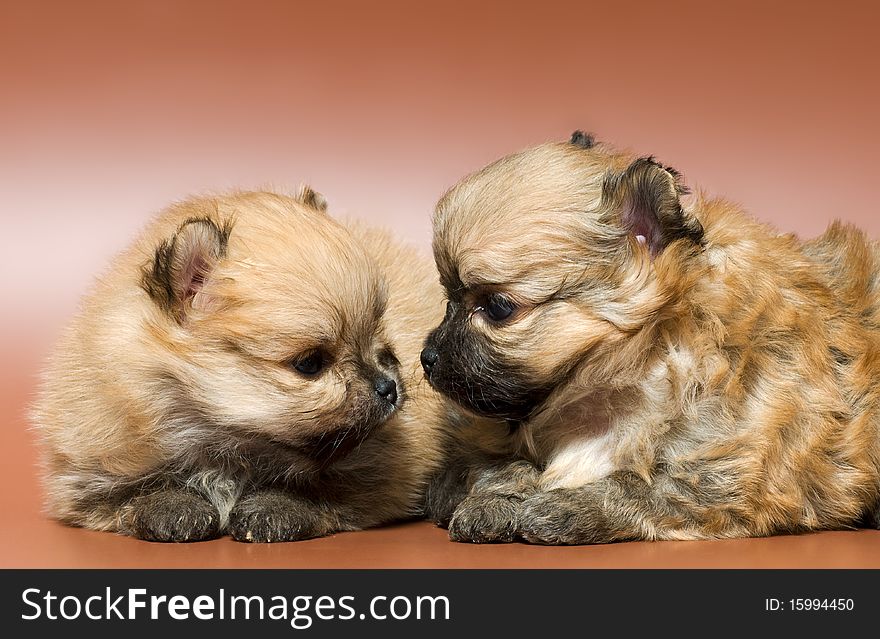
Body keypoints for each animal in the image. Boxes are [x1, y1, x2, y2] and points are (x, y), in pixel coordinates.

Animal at [32, 188, 454, 544]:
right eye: (310, 364)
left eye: (383, 346)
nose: (389, 387)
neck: (224, 447)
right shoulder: (87, 474)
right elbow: (134, 493)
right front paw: (173, 507)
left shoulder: (380, 470)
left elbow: (320, 490)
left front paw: (274, 507)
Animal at [422, 131, 880, 544]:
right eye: (447, 299)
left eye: (497, 308)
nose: (427, 357)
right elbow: (485, 468)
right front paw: (497, 497)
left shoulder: (726, 474)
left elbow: (636, 485)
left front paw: (563, 505)